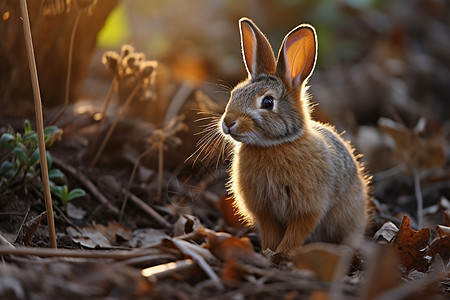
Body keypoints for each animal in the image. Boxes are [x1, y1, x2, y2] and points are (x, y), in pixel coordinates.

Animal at [220, 17, 370, 255]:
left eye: (268, 102)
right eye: (234, 93)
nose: (227, 123)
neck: (275, 144)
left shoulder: (308, 207)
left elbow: (297, 231)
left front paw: (283, 253)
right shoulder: (265, 210)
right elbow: (270, 231)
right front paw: (268, 252)